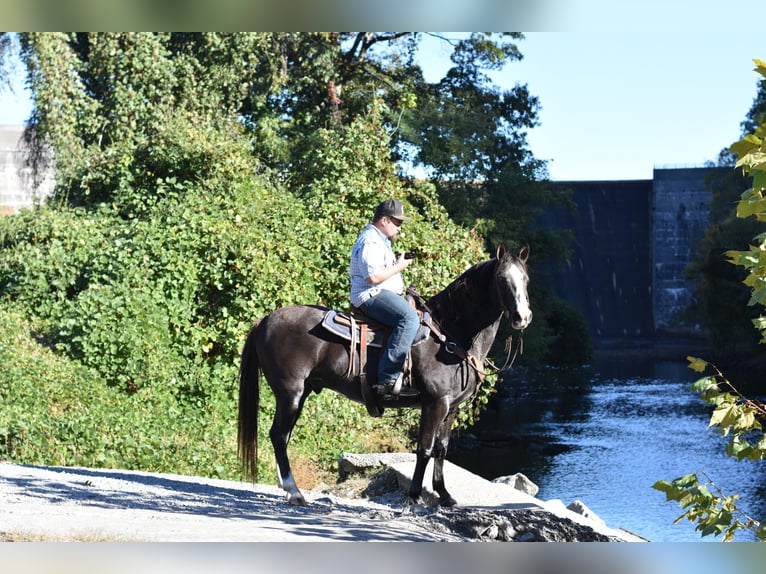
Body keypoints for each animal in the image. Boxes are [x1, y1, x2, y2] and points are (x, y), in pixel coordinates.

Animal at [237, 245, 532, 507]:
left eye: (525, 279)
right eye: (502, 279)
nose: (523, 317)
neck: (450, 335)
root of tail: (265, 320)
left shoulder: (452, 407)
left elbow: (441, 449)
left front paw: (445, 496)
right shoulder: (435, 403)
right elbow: (424, 449)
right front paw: (414, 496)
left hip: (301, 393)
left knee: (283, 436)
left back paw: (286, 489)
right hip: (290, 393)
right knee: (278, 435)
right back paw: (294, 492)